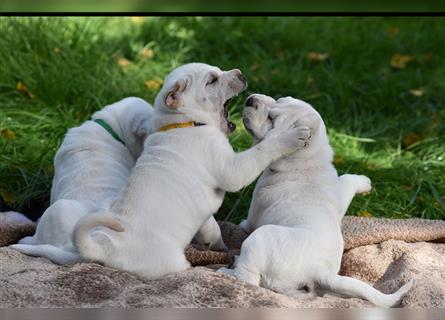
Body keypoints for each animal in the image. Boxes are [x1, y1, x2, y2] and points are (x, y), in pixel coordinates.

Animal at [71, 62, 310, 278]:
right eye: (211, 80)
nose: (241, 73)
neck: (185, 123)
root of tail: (106, 249)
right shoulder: (232, 169)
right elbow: (261, 149)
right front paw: (291, 136)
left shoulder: (205, 216)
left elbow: (212, 229)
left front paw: (219, 247)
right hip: (165, 261)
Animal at [217, 94, 412, 308]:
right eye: (278, 99)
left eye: (271, 120)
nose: (251, 99)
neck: (307, 163)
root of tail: (320, 271)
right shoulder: (338, 195)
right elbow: (347, 179)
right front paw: (365, 182)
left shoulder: (254, 213)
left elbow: (246, 223)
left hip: (259, 237)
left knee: (249, 278)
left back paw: (226, 271)